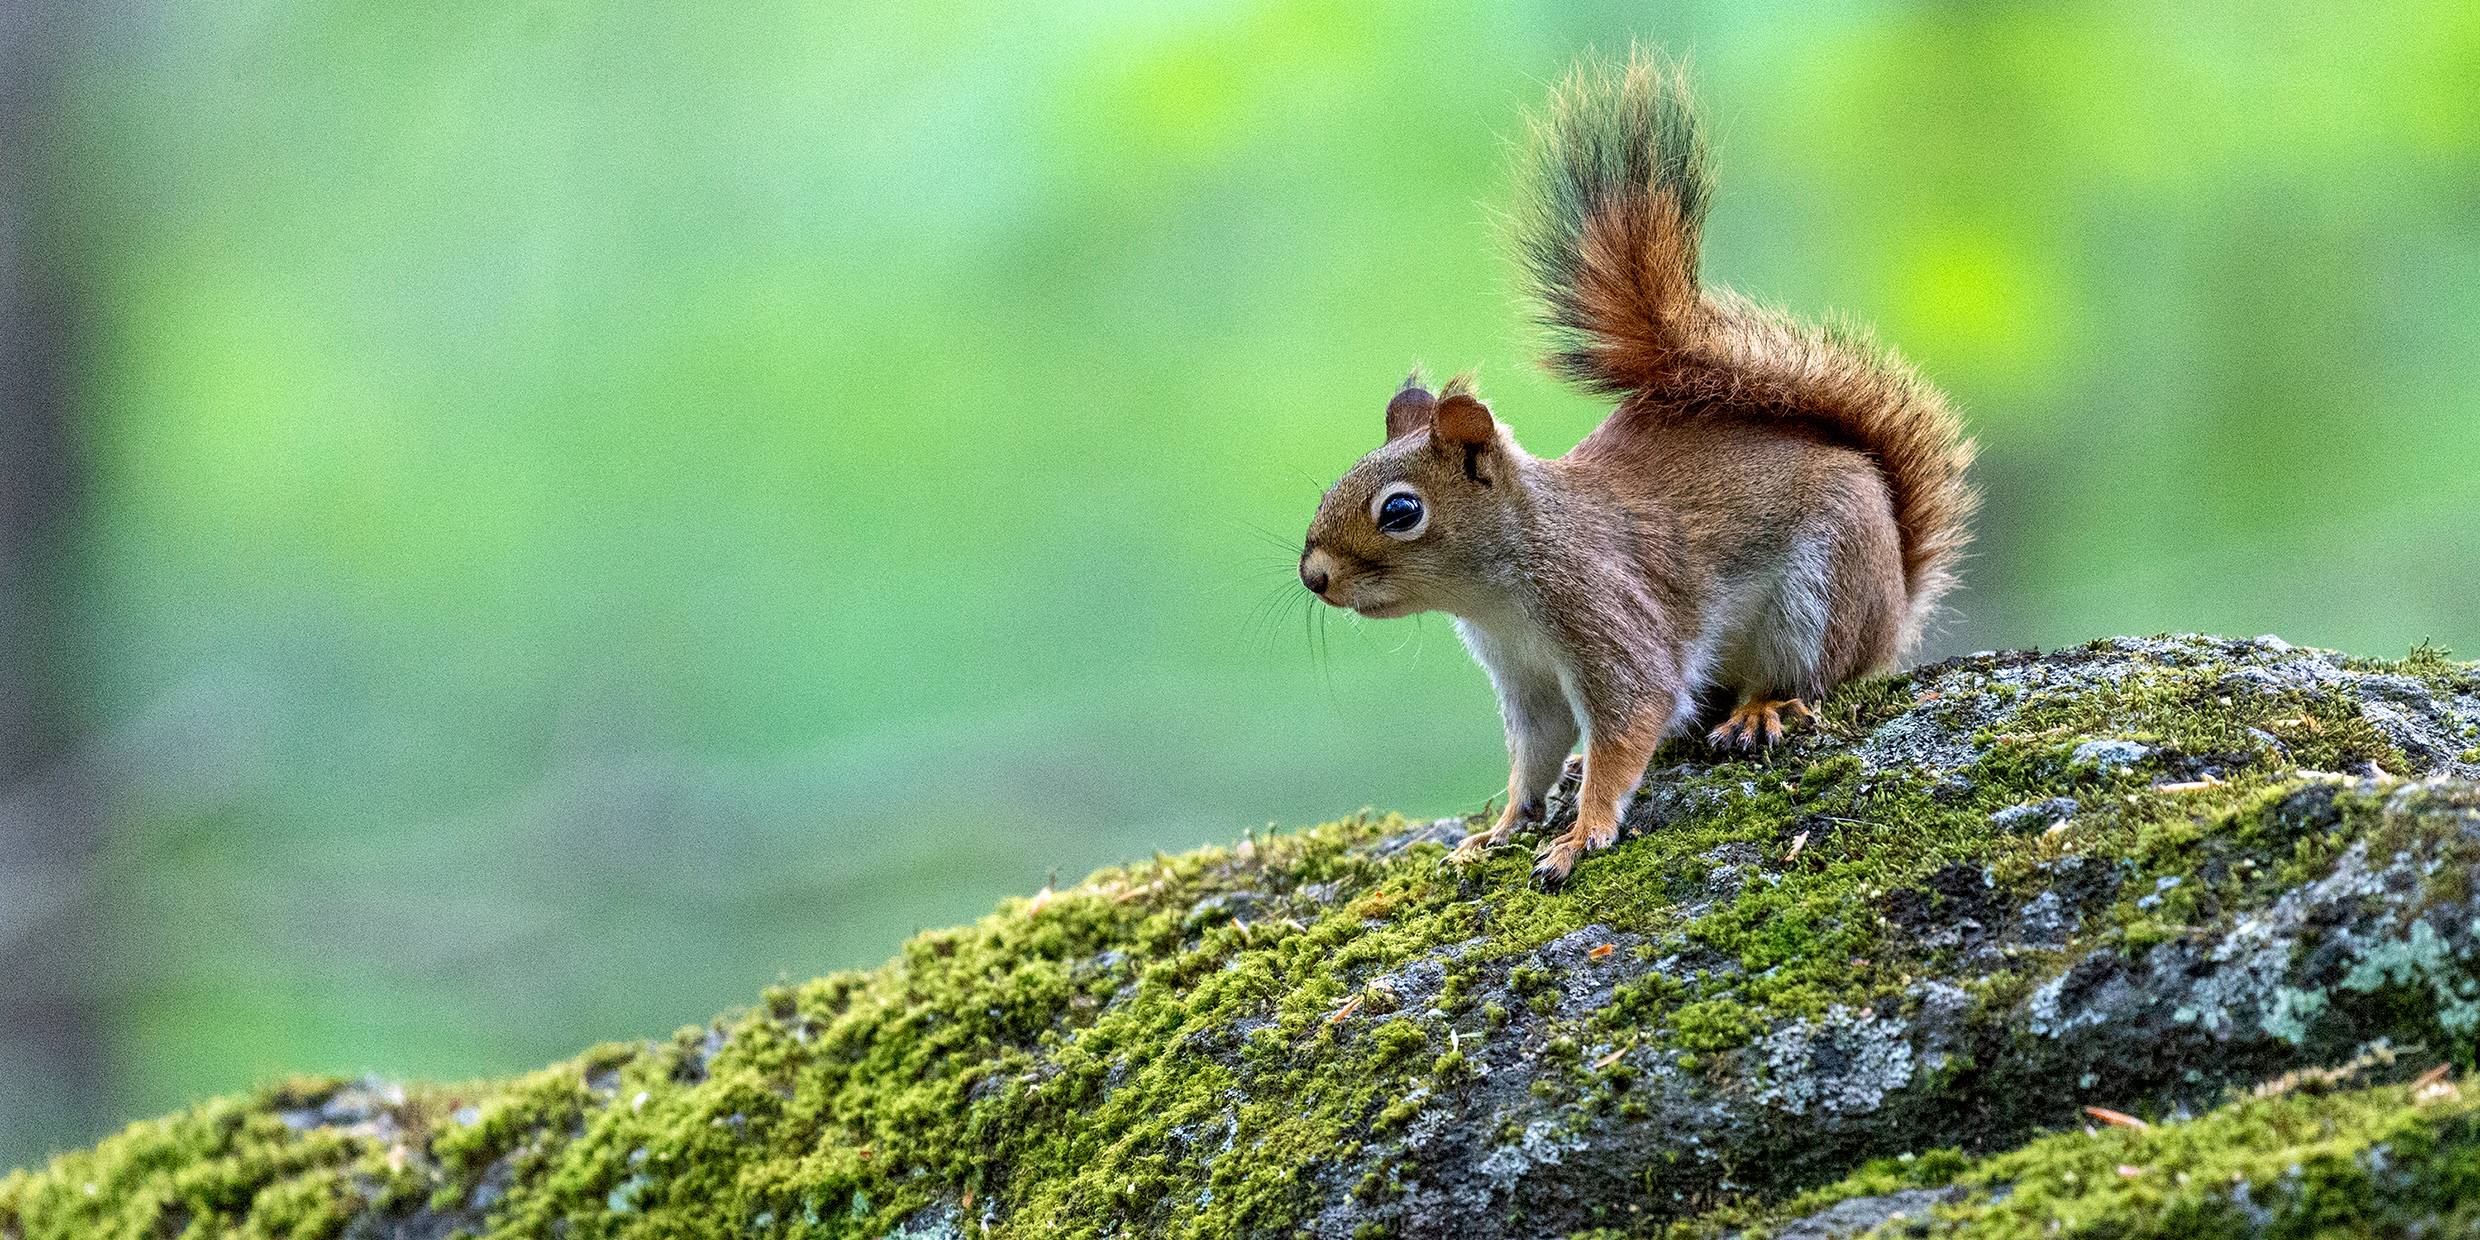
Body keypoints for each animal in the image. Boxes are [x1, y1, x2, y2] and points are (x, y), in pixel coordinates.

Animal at [1299, 50, 1974, 882]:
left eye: (1400, 510)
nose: (1314, 576)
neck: (1498, 593)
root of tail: (1896, 602)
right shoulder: (1527, 682)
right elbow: (1534, 758)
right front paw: (1500, 829)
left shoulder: (1607, 616)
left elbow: (1627, 726)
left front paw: (1581, 835)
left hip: (1823, 590)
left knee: (1810, 675)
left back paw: (1760, 711)